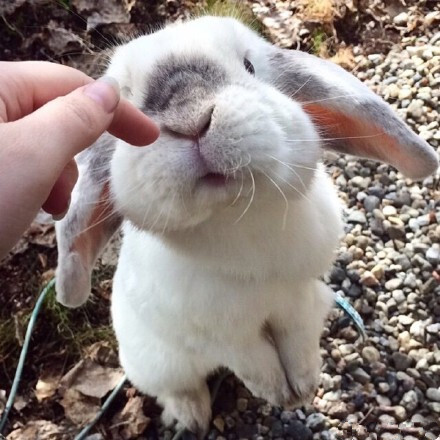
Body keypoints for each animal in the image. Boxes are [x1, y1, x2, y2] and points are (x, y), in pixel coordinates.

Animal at [54, 15, 436, 434]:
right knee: (179, 387)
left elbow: (298, 342)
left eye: (250, 66)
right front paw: (281, 393)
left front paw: (303, 387)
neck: (237, 219)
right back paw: (191, 417)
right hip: (156, 363)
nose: (190, 119)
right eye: (123, 99)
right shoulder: (217, 335)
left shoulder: (300, 298)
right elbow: (252, 362)